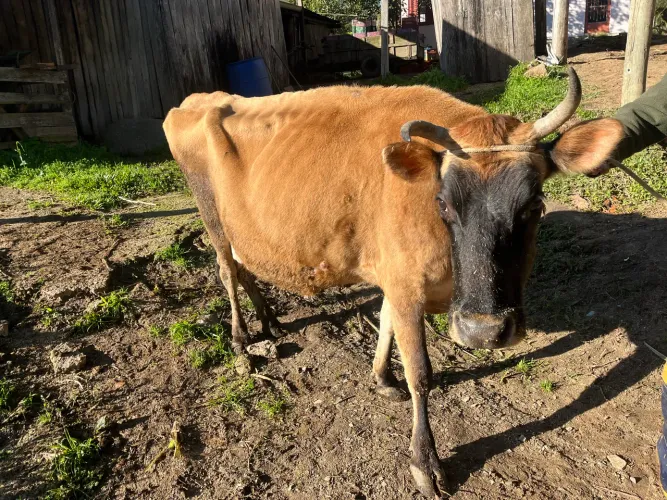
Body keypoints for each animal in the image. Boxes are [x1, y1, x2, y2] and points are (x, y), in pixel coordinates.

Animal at [163, 68, 623, 498]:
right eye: (443, 203)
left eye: (534, 205)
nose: (483, 330)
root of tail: (196, 100)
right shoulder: (405, 285)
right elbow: (420, 374)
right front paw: (426, 463)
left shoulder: (395, 278)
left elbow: (384, 322)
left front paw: (382, 378)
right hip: (211, 215)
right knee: (227, 270)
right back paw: (241, 338)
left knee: (245, 268)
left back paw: (270, 321)